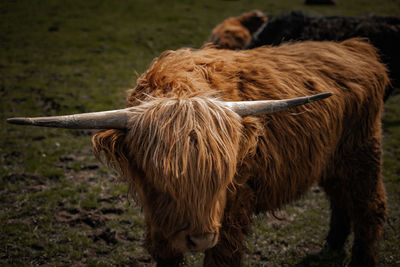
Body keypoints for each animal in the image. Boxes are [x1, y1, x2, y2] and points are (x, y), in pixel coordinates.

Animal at [7, 38, 388, 267]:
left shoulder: (231, 216)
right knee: (340, 199)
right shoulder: (158, 218)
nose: (200, 238)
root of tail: (354, 46)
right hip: (332, 160)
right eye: (161, 178)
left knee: (369, 207)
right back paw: (332, 247)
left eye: (224, 176)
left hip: (363, 153)